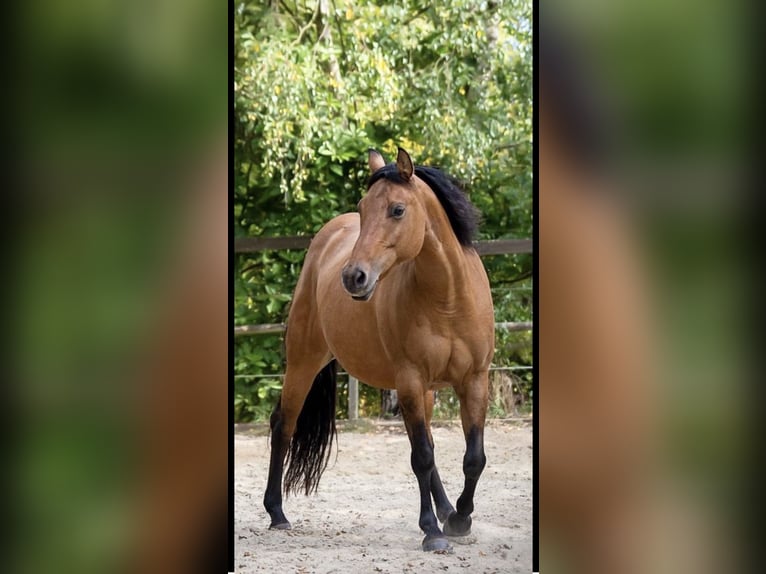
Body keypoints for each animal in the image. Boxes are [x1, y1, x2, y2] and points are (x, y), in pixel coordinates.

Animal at [263, 147, 495, 552]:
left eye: (397, 210)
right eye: (362, 206)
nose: (353, 276)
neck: (449, 300)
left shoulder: (474, 380)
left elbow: (472, 458)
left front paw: (460, 519)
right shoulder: (410, 381)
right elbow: (421, 457)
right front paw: (432, 532)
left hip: (425, 391)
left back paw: (447, 509)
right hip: (304, 361)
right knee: (283, 424)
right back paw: (277, 513)